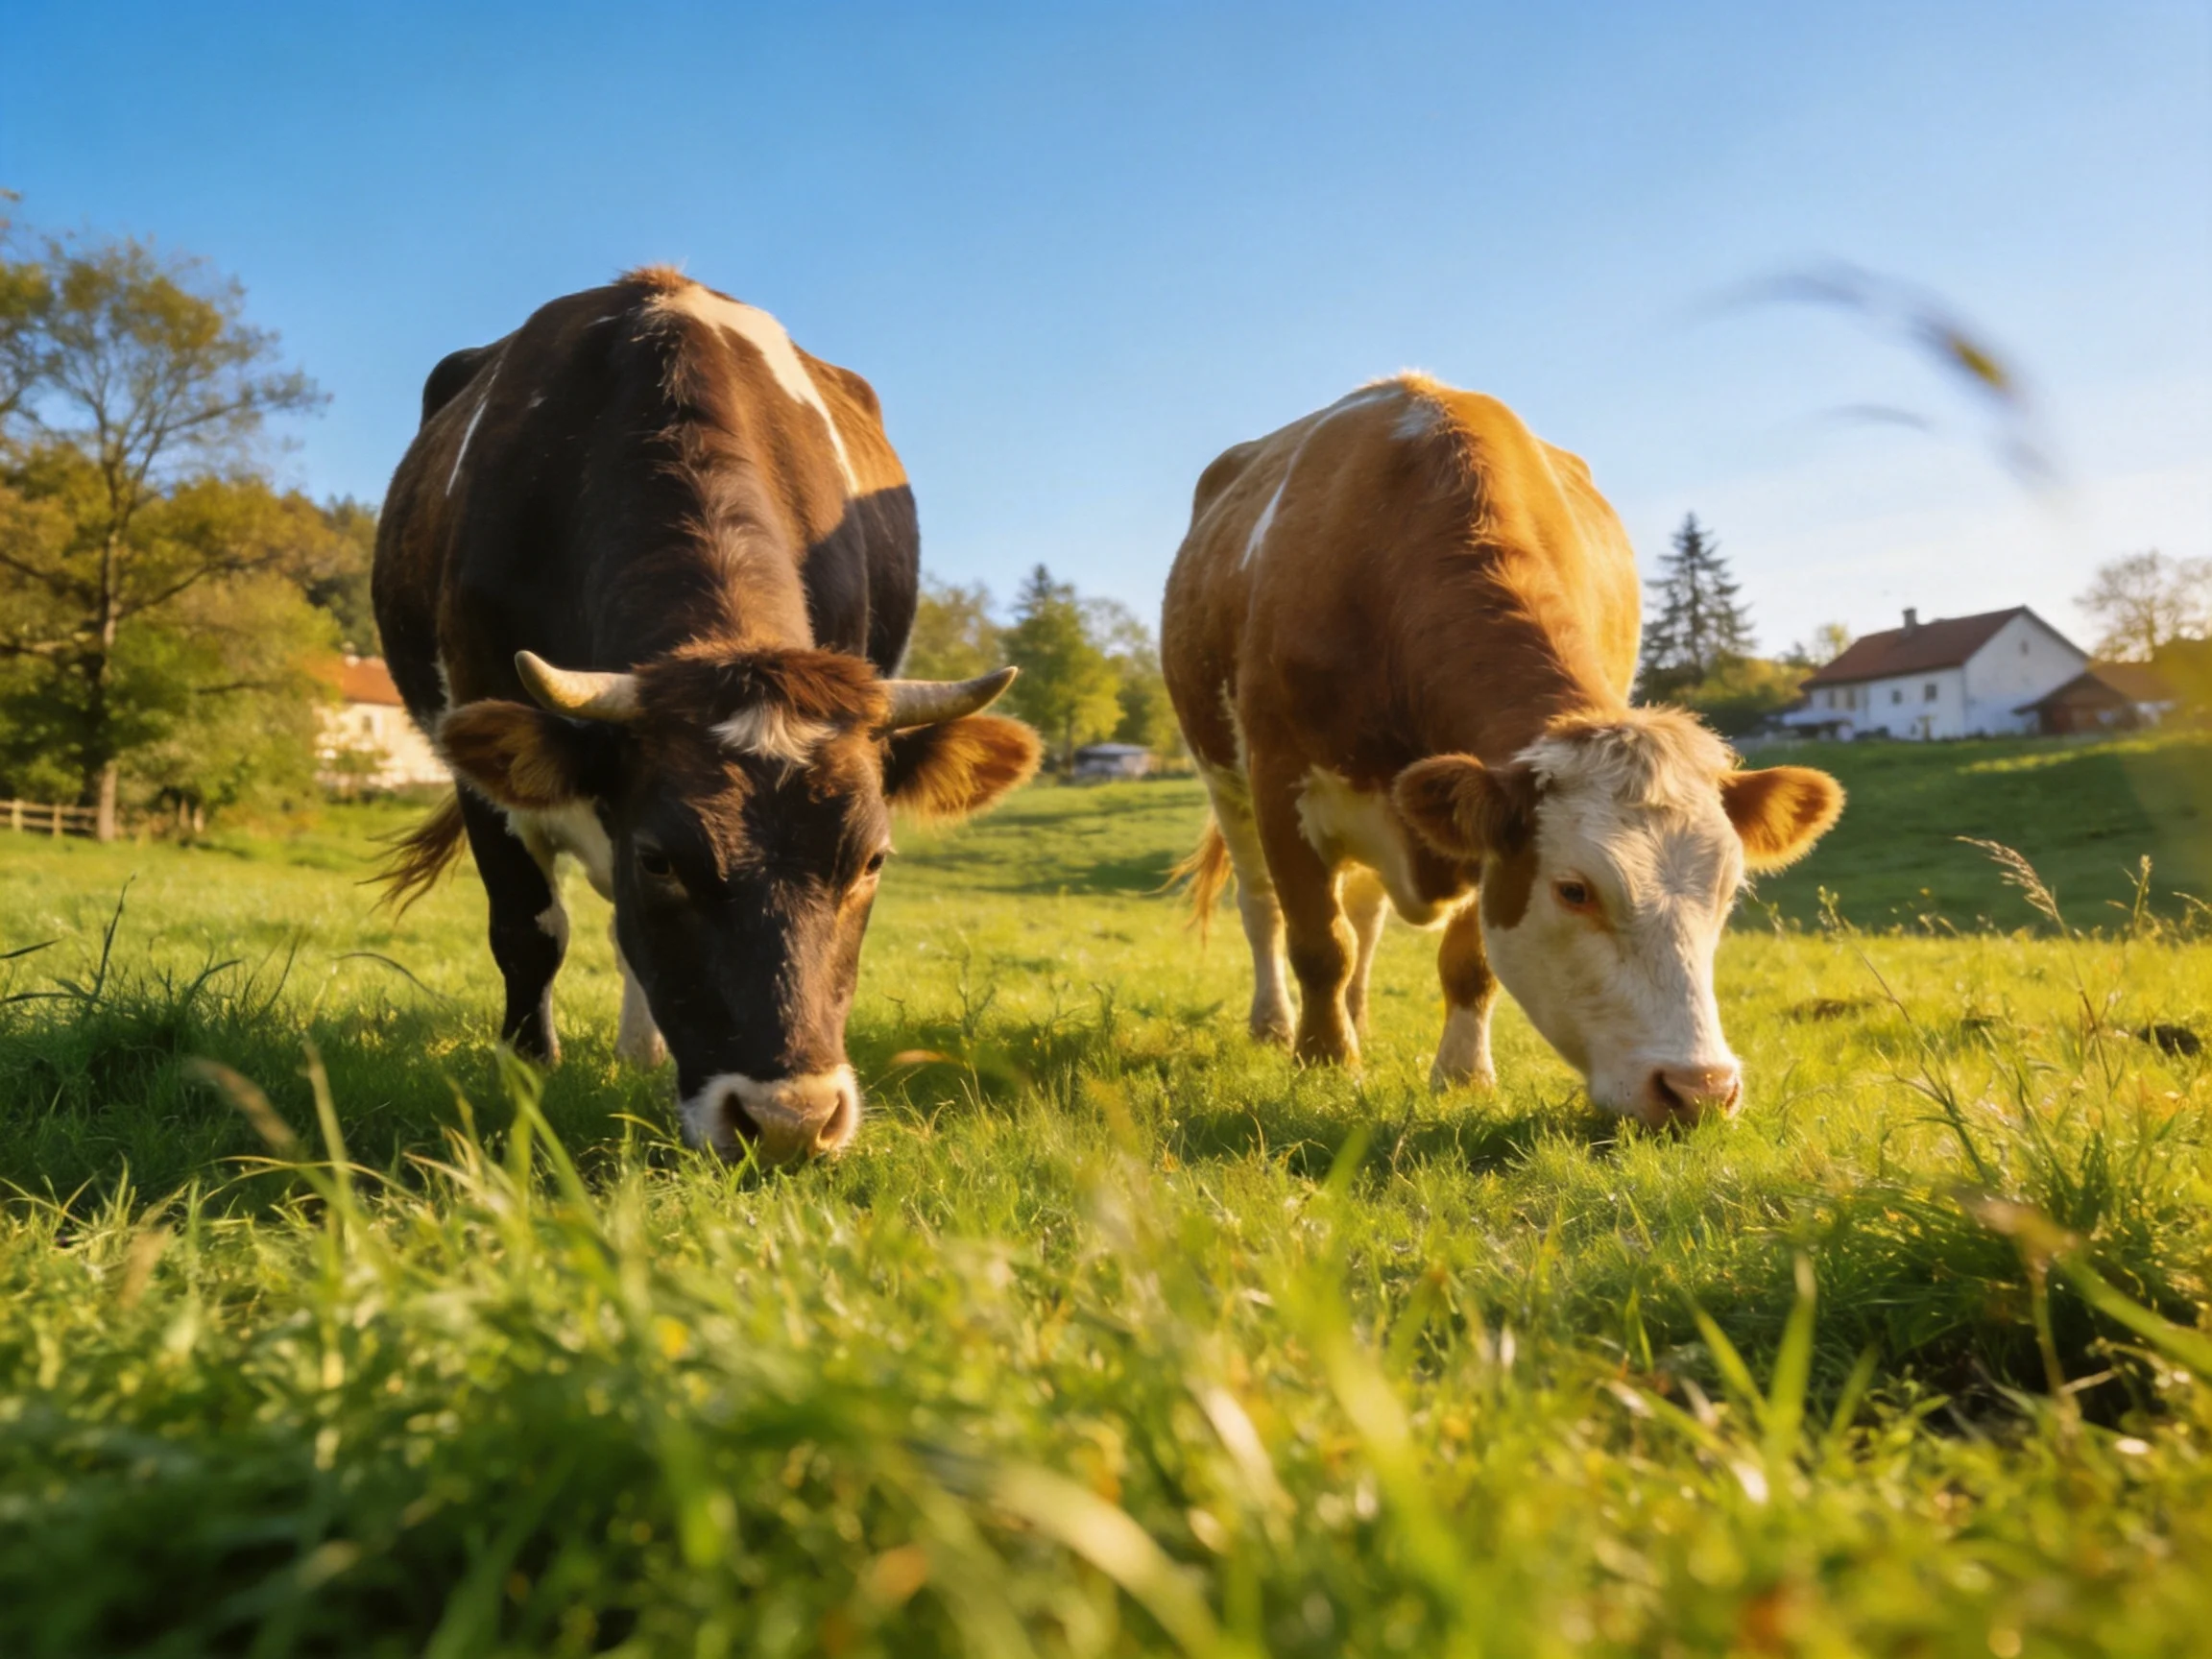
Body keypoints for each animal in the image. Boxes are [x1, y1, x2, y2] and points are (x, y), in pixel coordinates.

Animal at [372, 267, 1040, 1163]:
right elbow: (529, 931)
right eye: (660, 860)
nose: (789, 1122)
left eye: (872, 860)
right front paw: (526, 1076)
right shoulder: (483, 757)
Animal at [1161, 375, 1843, 1127]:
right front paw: (1325, 1063)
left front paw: (1462, 1075)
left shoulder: (1480, 822)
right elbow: (1318, 942)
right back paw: (1276, 1025)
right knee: (1263, 909)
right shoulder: (1283, 783)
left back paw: (1357, 1018)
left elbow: (1466, 960)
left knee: (1365, 914)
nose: (1700, 1090)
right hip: (1224, 779)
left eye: (1726, 892)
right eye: (1574, 890)